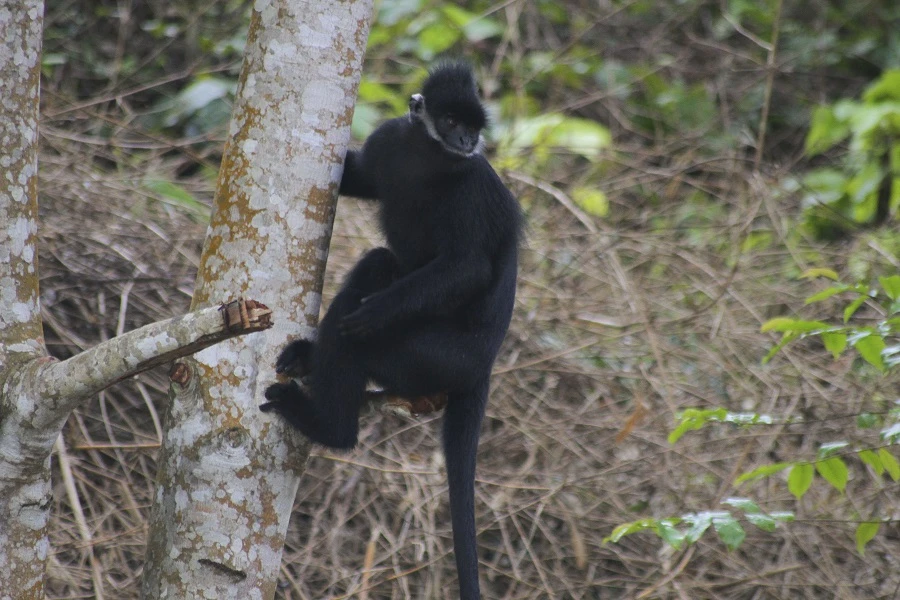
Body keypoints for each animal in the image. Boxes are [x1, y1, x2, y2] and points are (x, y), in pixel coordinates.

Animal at [258, 62, 520, 600]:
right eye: (450, 119)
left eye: (474, 126)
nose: (466, 139)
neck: (429, 157)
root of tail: (482, 366)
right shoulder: (391, 139)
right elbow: (357, 177)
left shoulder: (473, 185)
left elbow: (468, 267)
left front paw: (373, 312)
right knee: (379, 261)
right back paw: (308, 356)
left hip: (430, 356)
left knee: (360, 343)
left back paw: (329, 424)